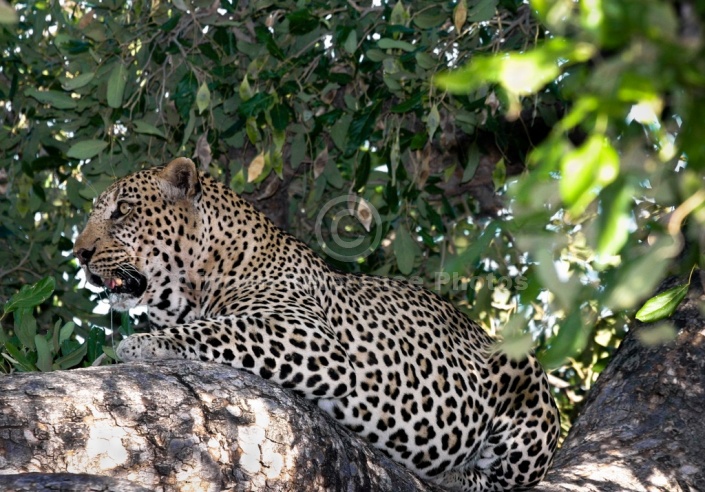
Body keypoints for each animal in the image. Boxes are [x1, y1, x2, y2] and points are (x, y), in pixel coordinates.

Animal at [74, 159, 560, 492]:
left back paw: (457, 475)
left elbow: (216, 331)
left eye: (122, 211)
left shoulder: (307, 335)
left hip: (524, 381)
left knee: (504, 481)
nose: (79, 253)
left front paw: (139, 344)